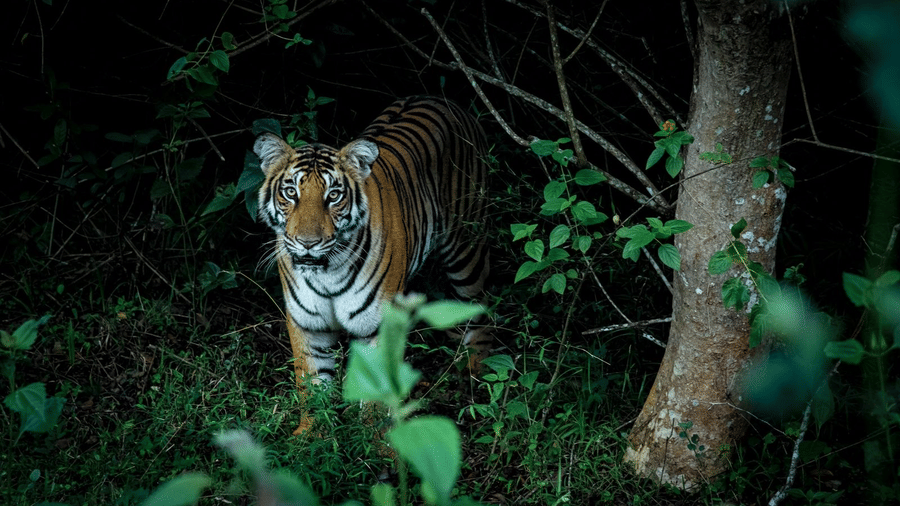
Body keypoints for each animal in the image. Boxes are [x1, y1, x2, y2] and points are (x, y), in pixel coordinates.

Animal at [253, 96, 491, 434]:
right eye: (290, 192)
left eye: (333, 195)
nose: (308, 242)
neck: (327, 271)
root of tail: (443, 100)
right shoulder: (308, 324)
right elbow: (311, 385)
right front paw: (312, 435)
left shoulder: (379, 326)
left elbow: (377, 398)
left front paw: (374, 441)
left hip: (467, 247)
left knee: (479, 310)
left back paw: (477, 377)